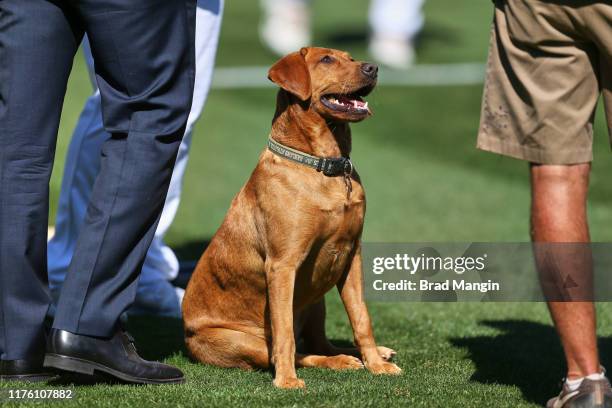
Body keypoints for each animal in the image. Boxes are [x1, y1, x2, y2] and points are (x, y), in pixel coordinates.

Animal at [183, 46, 402, 388]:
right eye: (326, 59)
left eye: (351, 58)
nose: (373, 68)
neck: (325, 166)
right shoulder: (282, 265)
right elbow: (285, 335)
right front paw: (286, 381)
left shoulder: (351, 255)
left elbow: (361, 318)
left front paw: (376, 365)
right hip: (243, 340)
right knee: (289, 350)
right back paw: (332, 362)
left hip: (317, 300)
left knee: (319, 342)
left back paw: (363, 354)